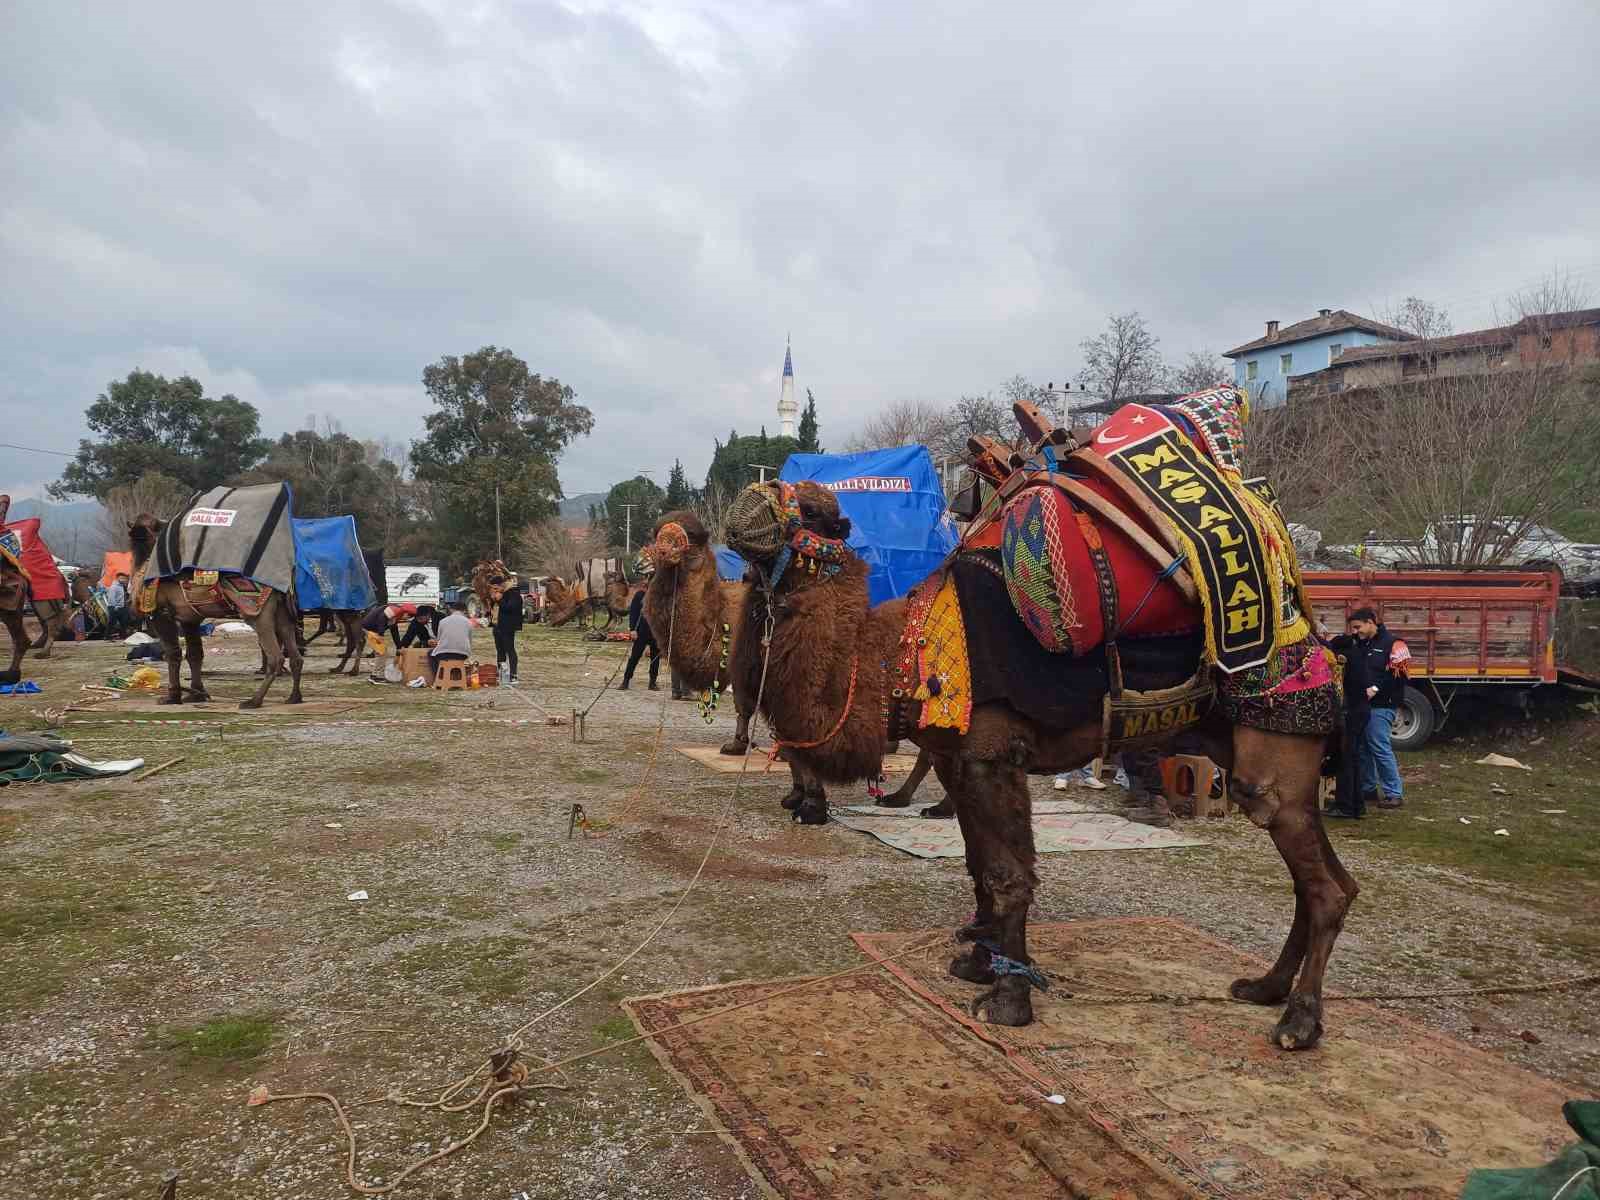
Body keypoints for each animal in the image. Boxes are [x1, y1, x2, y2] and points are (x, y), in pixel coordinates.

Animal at [128, 483, 305, 710]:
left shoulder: (161, 612)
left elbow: (173, 653)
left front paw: (172, 697)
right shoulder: (189, 617)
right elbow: (195, 654)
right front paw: (197, 694)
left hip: (257, 610)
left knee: (275, 657)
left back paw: (253, 701)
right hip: (283, 611)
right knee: (295, 655)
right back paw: (294, 697)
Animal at [681, 390, 1356, 1049]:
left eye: (817, 509)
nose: (748, 501)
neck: (897, 651)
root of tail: (1319, 635)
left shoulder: (990, 751)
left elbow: (1008, 874)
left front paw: (1007, 1001)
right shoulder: (958, 759)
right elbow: (981, 861)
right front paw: (979, 965)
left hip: (1275, 747)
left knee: (1321, 883)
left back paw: (1298, 1020)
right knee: (1322, 880)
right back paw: (1264, 987)